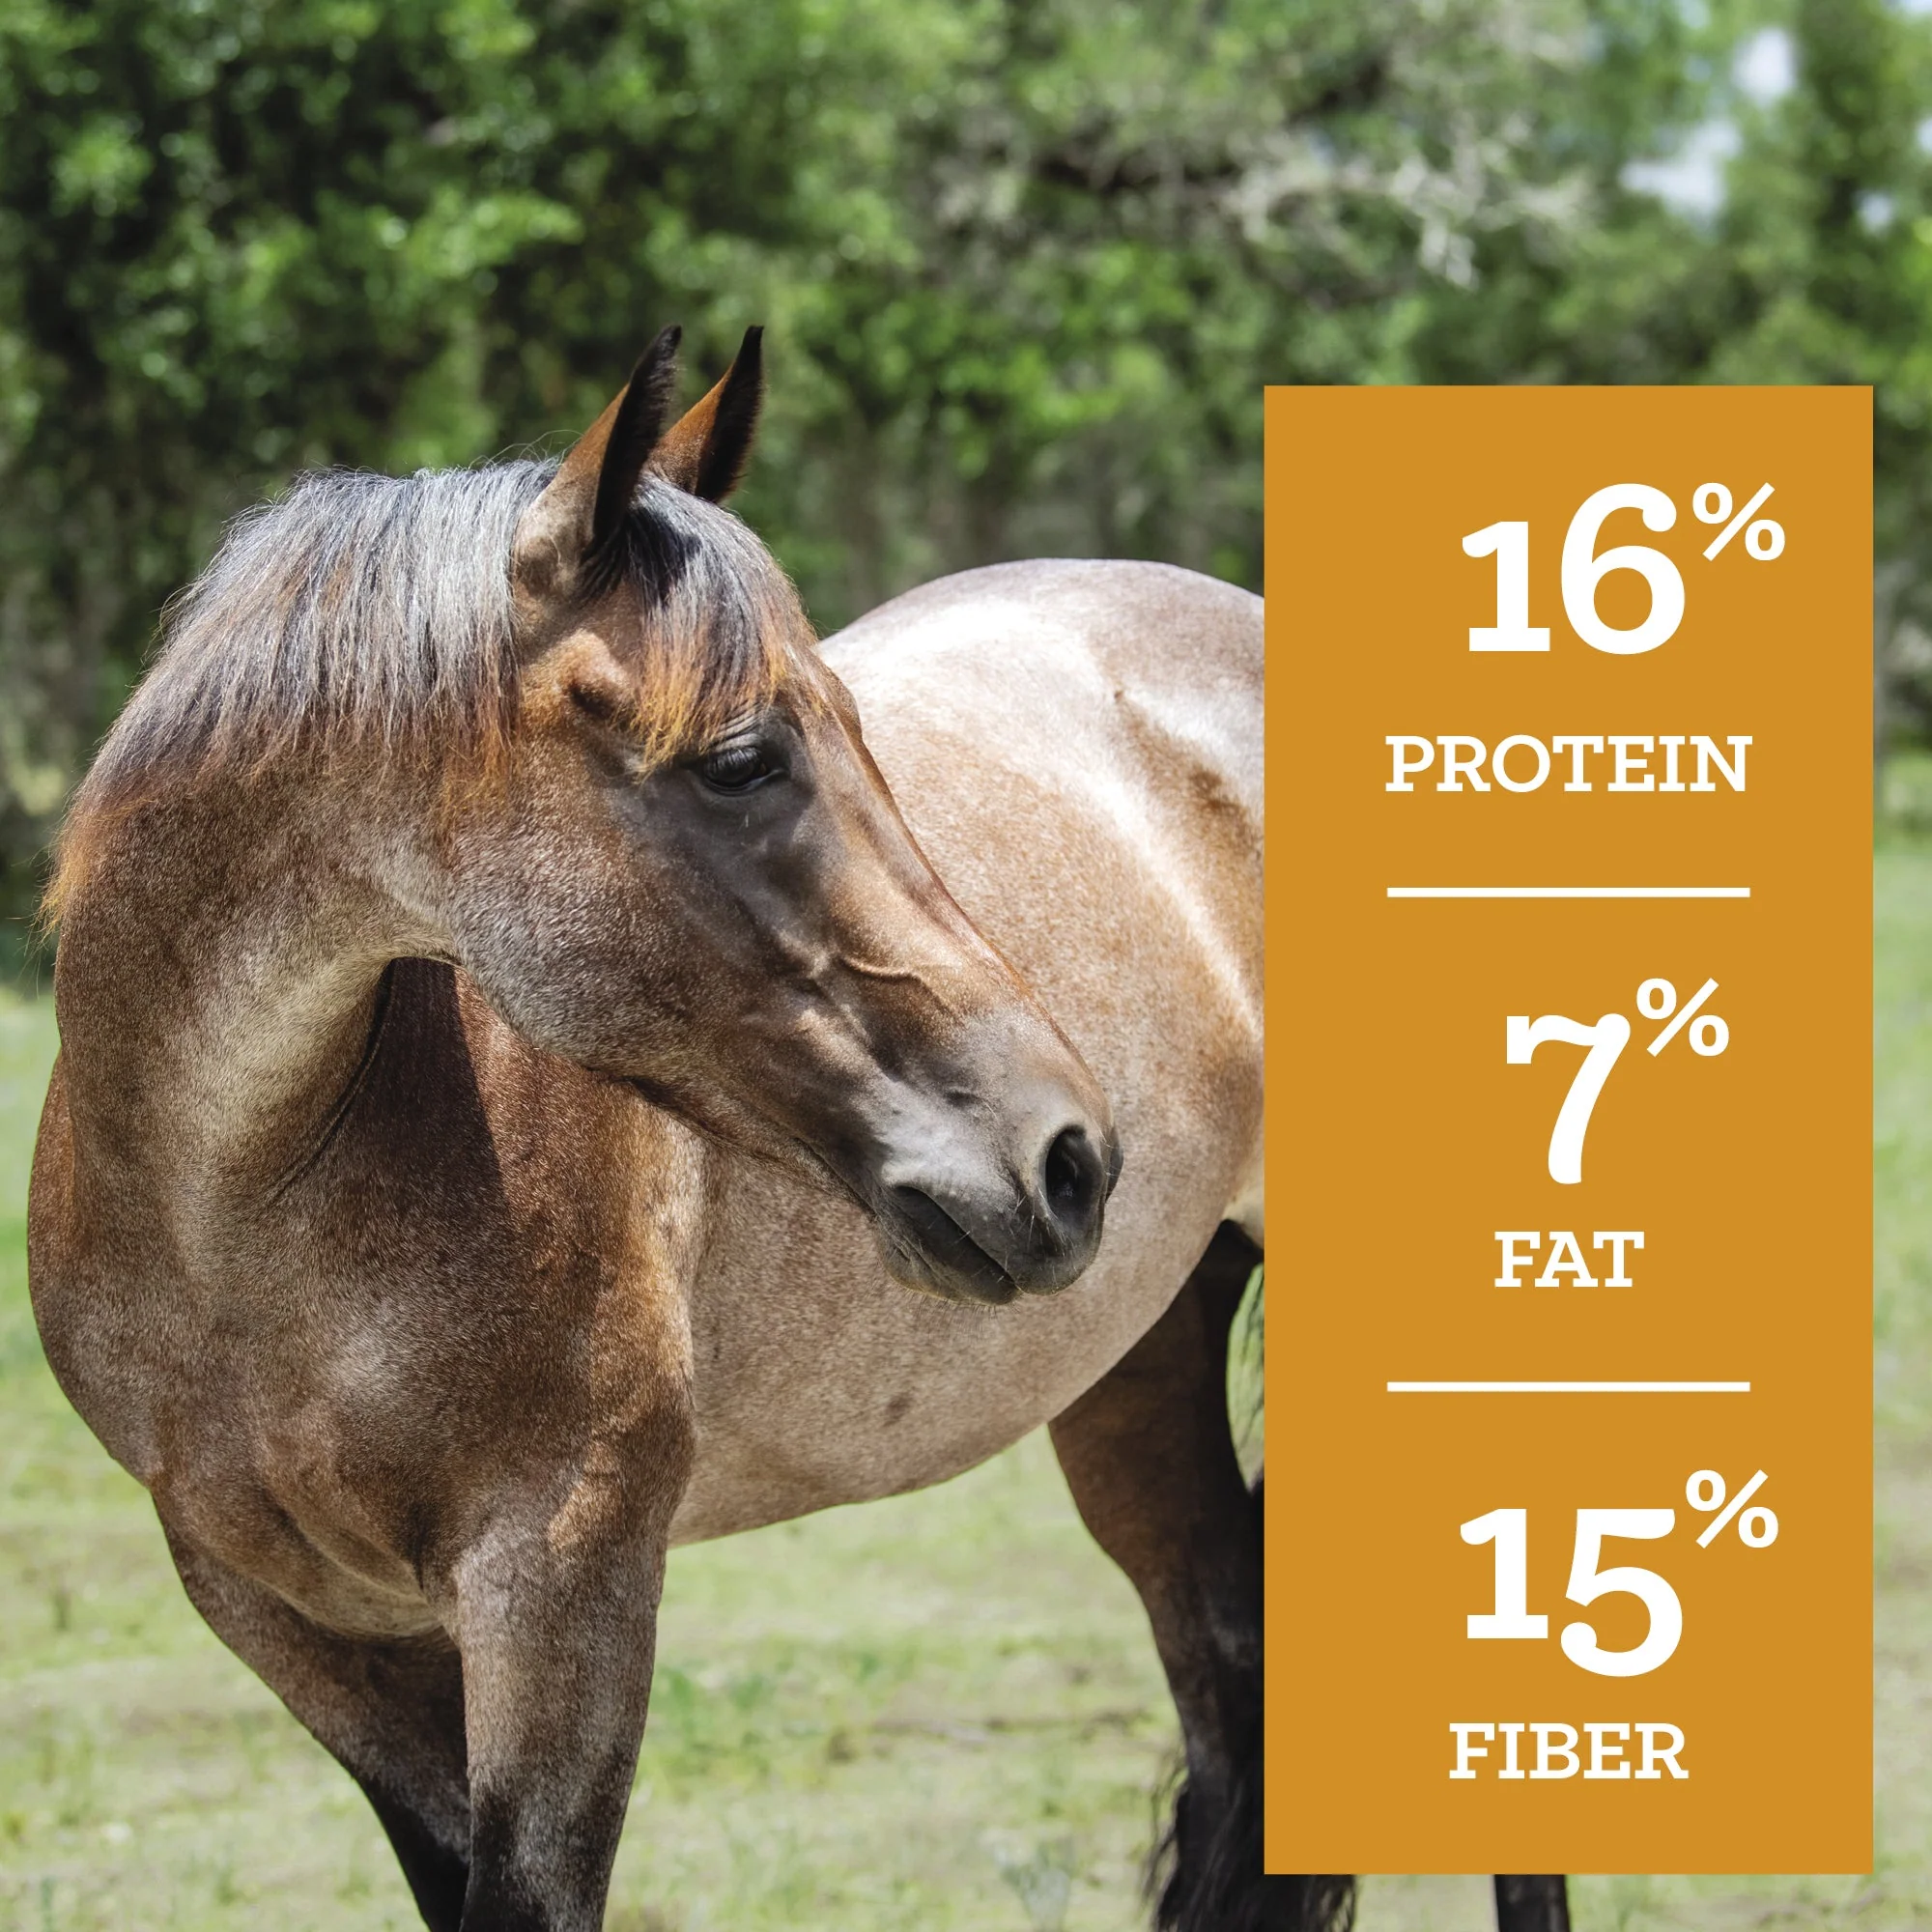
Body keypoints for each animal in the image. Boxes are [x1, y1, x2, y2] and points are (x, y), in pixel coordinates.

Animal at [27, 323, 1345, 1928]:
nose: (1070, 1154)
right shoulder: (299, 1627)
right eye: (742, 759)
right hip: (1138, 1380)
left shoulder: (562, 1592)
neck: (242, 1219)